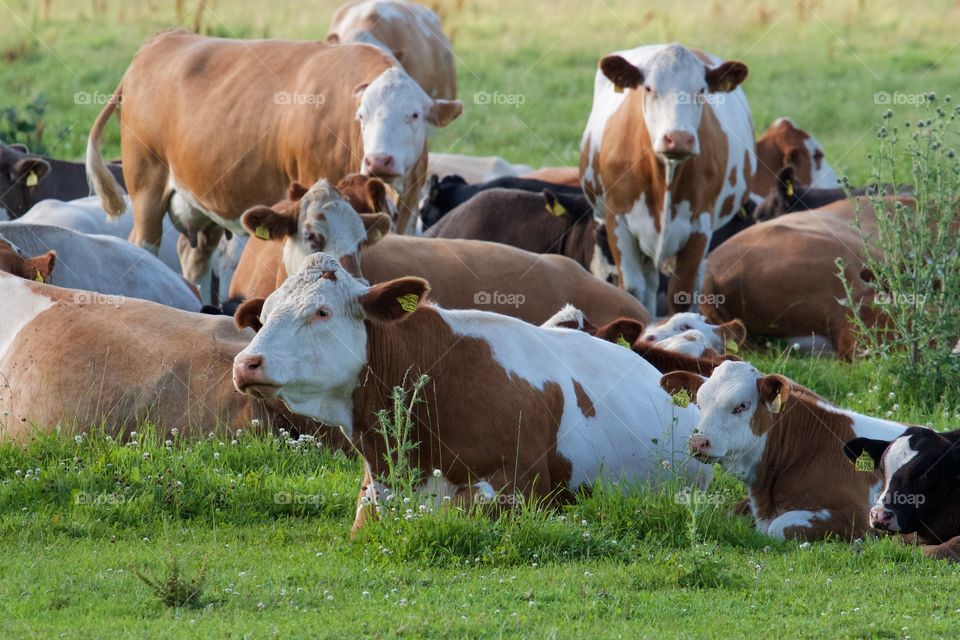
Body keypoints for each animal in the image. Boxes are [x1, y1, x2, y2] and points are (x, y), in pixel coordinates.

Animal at [85, 30, 463, 274]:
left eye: (414, 115)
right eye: (361, 116)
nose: (379, 160)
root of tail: (160, 40)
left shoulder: (409, 210)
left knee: (196, 257)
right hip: (147, 188)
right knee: (143, 244)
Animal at [580, 43, 756, 314]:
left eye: (701, 91)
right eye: (649, 88)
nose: (679, 138)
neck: (665, 176)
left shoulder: (700, 225)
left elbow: (682, 293)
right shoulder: (617, 219)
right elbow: (632, 289)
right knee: (649, 284)